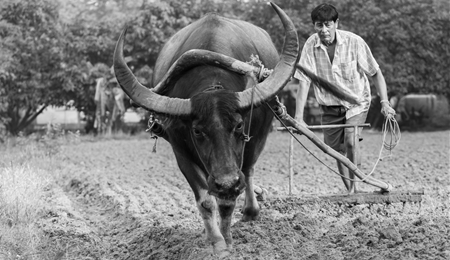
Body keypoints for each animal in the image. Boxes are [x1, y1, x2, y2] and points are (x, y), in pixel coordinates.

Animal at [113, 3, 298, 256]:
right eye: (198, 131)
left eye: (238, 124)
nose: (226, 182)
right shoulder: (181, 153)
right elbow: (206, 200)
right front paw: (216, 241)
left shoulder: (251, 142)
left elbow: (229, 197)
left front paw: (228, 238)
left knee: (248, 170)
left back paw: (251, 209)